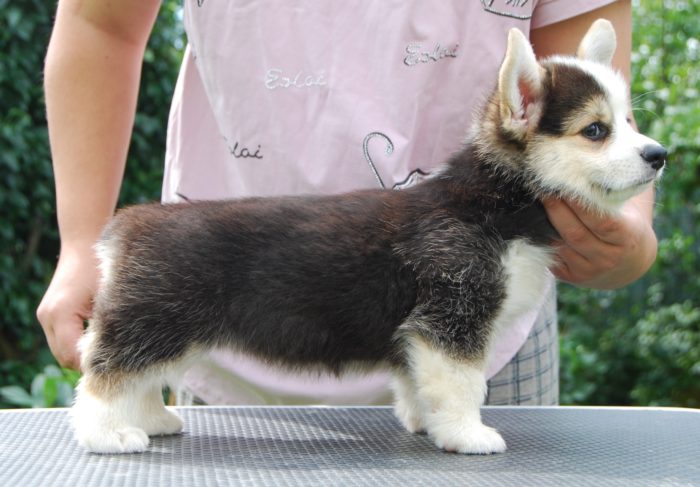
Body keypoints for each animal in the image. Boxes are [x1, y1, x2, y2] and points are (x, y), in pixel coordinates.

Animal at [72, 19, 668, 454]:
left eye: (629, 121)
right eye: (596, 130)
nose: (659, 155)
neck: (495, 201)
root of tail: (127, 227)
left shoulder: (421, 332)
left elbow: (418, 383)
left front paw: (427, 424)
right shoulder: (453, 317)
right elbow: (462, 384)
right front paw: (467, 434)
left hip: (167, 331)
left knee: (136, 377)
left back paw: (153, 420)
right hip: (154, 322)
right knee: (105, 376)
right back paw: (109, 435)